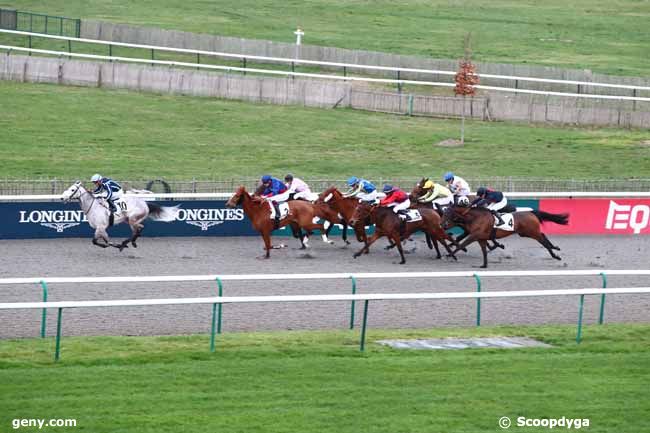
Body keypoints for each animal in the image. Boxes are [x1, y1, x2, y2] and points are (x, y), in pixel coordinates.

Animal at [440, 203, 568, 266]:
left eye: (447, 213)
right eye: (443, 213)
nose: (441, 224)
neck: (476, 217)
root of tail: (531, 212)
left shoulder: (474, 236)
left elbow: (461, 245)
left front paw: (449, 255)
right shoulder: (480, 237)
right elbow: (483, 250)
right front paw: (484, 265)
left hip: (532, 232)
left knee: (543, 241)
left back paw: (555, 255)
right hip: (525, 233)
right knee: (543, 236)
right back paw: (555, 248)